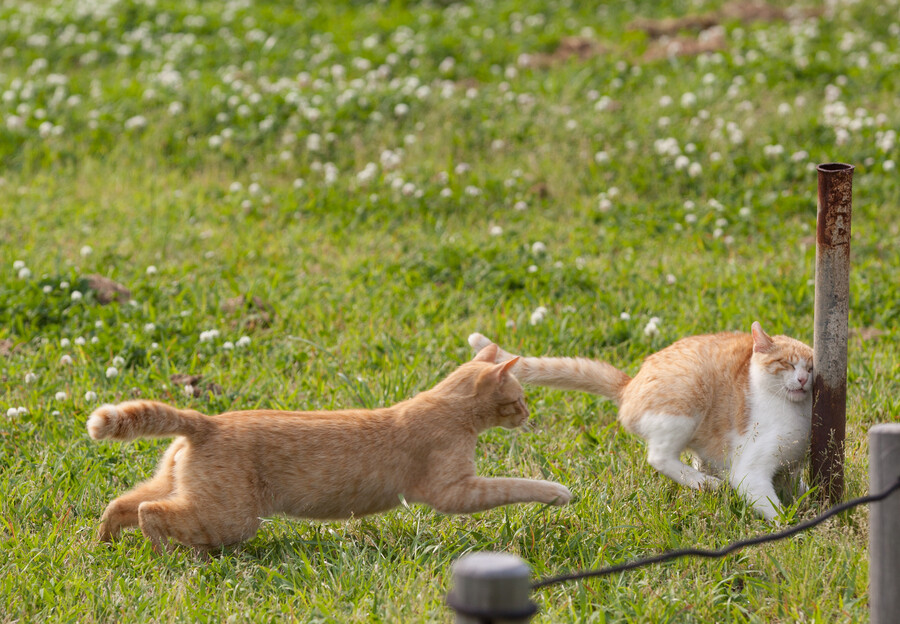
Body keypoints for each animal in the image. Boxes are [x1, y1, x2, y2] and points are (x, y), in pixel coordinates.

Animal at [88, 344, 572, 552]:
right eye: (518, 399)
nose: (527, 414)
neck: (447, 408)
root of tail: (208, 422)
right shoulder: (455, 492)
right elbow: (514, 485)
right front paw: (556, 493)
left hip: (179, 487)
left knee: (122, 503)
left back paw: (105, 542)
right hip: (230, 519)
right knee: (152, 513)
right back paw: (170, 555)